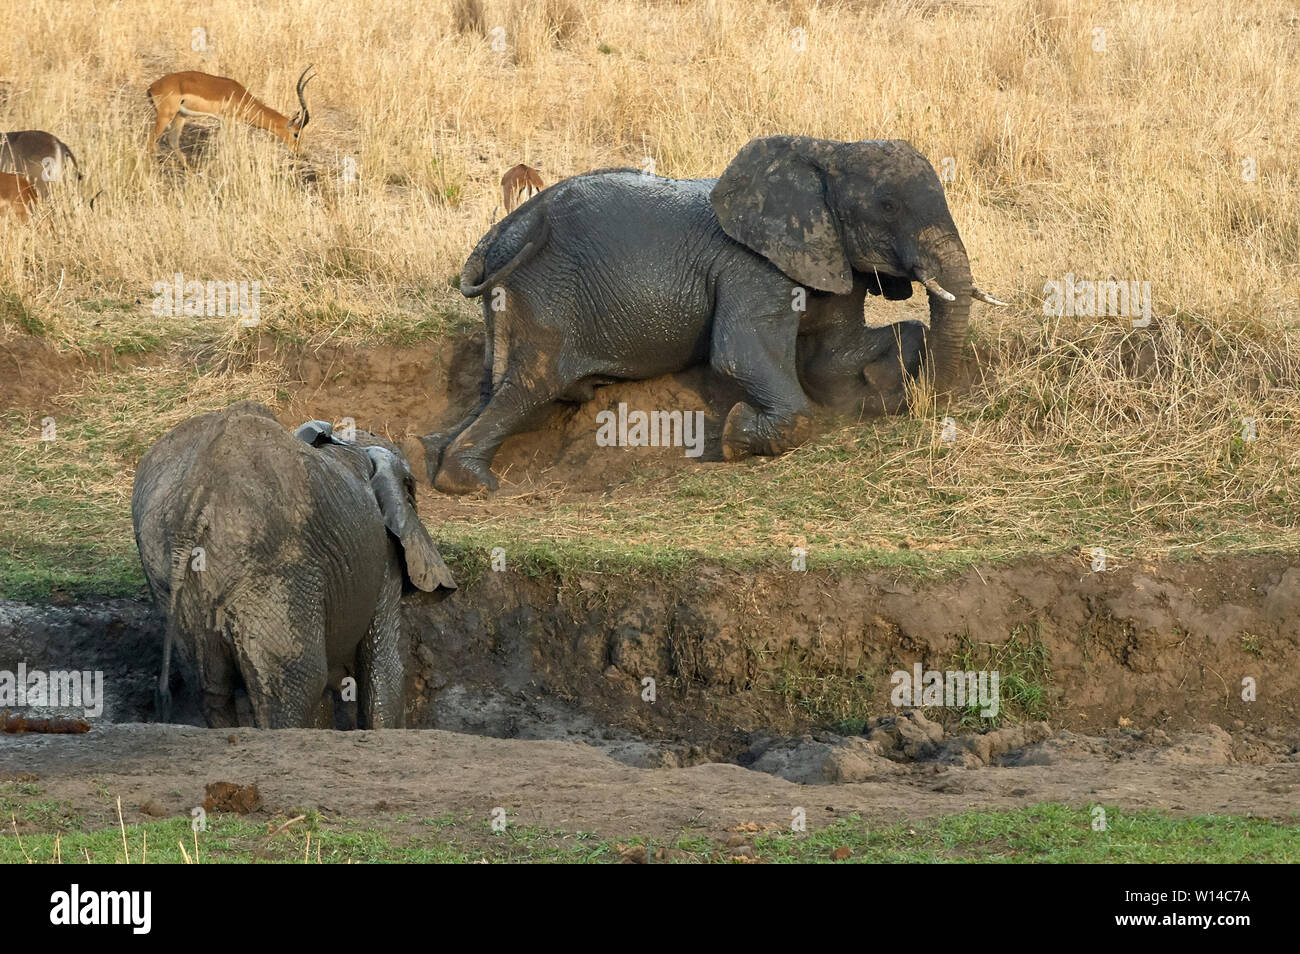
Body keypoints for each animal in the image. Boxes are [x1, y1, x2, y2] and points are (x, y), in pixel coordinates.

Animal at [132, 401, 456, 729]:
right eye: (412, 495)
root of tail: (198, 485)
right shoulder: (383, 552)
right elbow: (384, 674)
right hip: (276, 571)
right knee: (294, 688)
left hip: (168, 570)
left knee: (211, 692)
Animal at [424, 136, 1004, 495]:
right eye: (887, 207)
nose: (928, 406)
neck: (825, 149)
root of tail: (502, 231)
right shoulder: (754, 267)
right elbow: (741, 355)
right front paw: (734, 434)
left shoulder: (828, 254)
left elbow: (832, 359)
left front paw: (886, 387)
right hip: (544, 294)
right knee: (532, 385)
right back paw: (469, 482)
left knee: (502, 389)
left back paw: (438, 455)